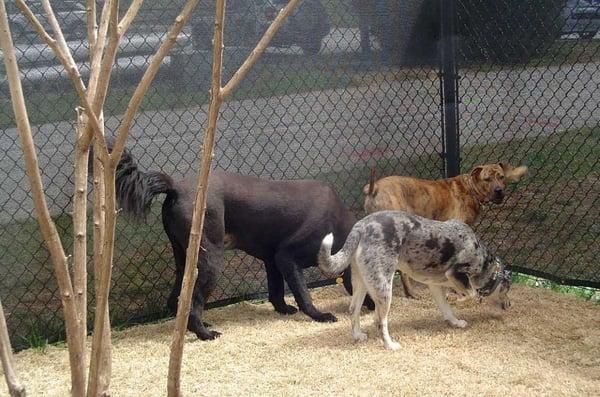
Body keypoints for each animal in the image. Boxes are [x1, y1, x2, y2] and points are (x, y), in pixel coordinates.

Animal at [115, 147, 364, 338]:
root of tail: (175, 186)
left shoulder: (273, 260)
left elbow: (276, 291)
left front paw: (283, 309)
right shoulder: (286, 257)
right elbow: (303, 293)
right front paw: (320, 315)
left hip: (184, 257)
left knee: (177, 299)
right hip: (210, 259)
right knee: (193, 303)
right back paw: (205, 334)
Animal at [360, 162, 524, 296]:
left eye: (501, 177)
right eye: (487, 179)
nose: (499, 191)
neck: (471, 189)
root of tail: (374, 188)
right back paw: (410, 292)